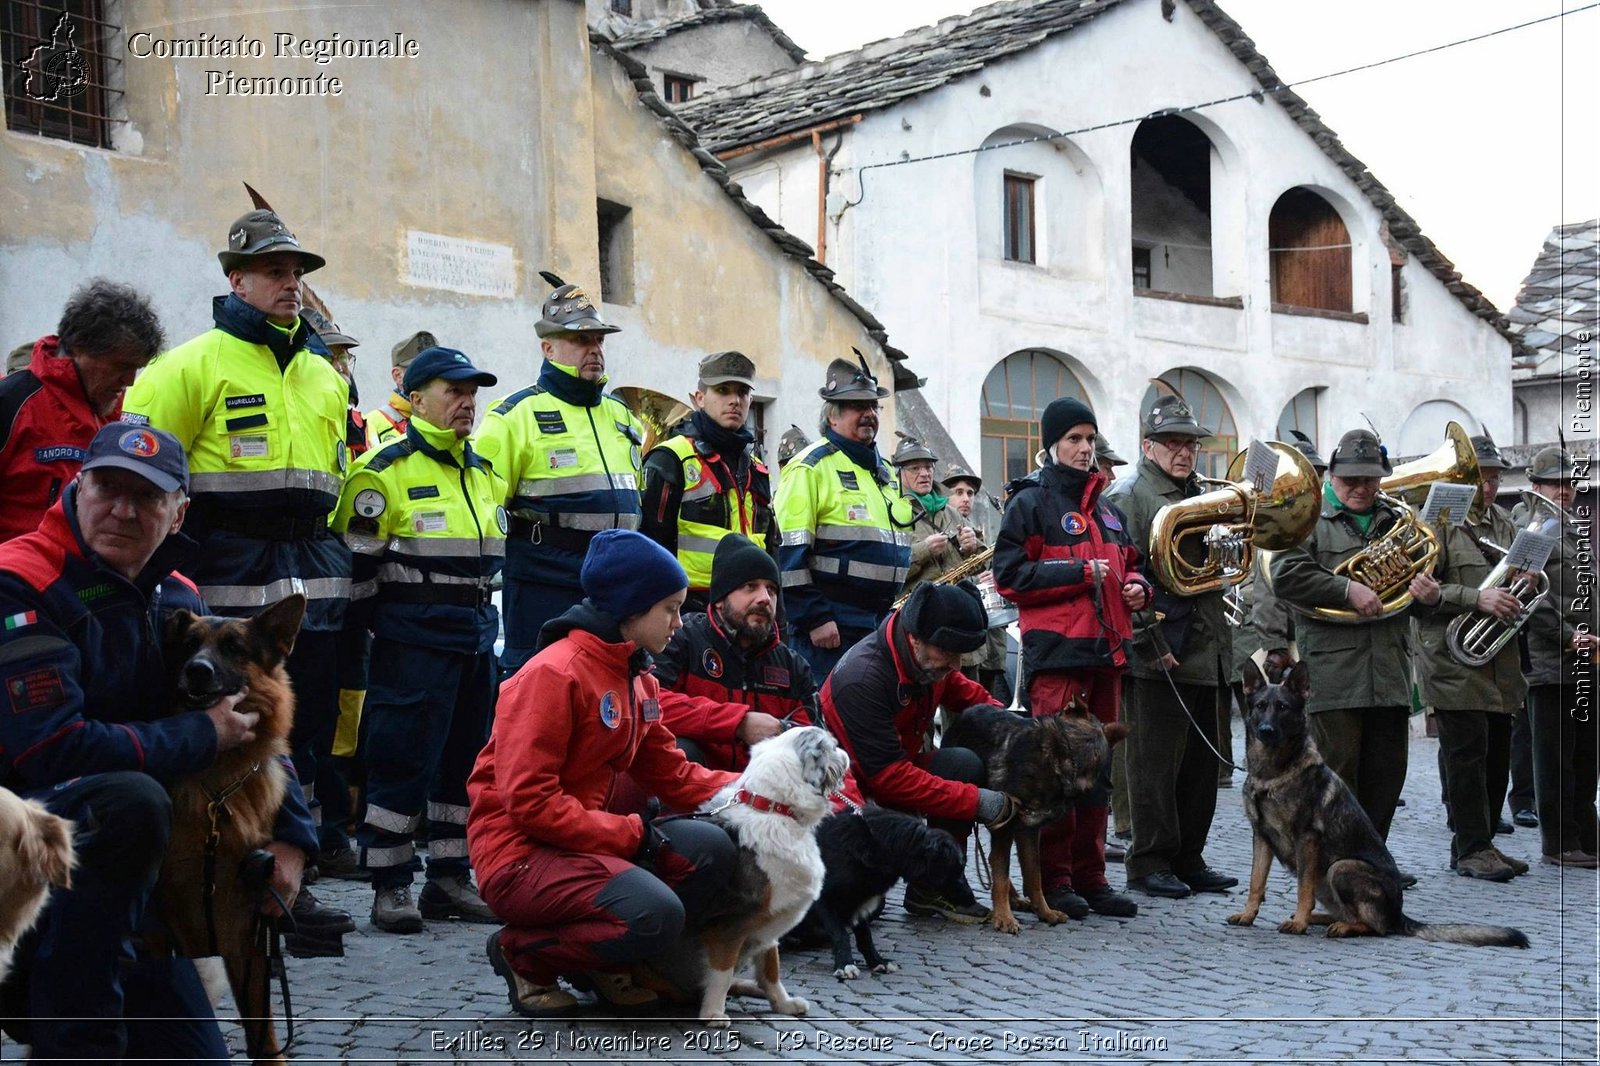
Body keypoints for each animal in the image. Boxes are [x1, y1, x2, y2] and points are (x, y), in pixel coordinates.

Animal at [151, 592, 310, 1056]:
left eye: (235, 648)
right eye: (189, 645)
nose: (197, 670)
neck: (217, 793)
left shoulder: (251, 931)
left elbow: (264, 1036)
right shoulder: (177, 922)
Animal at [784, 806, 960, 973]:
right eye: (957, 868)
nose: (965, 900)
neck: (878, 845)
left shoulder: (859, 900)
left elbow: (865, 936)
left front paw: (876, 961)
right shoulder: (822, 899)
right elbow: (841, 934)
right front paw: (845, 964)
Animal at [934, 704, 1126, 928]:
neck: (1062, 759)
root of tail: (963, 714)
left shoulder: (1029, 831)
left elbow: (1034, 875)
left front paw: (1044, 911)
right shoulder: (1006, 827)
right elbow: (1001, 875)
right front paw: (1004, 917)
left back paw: (1015, 899)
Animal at [1228, 656, 1529, 947]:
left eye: (1283, 707)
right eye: (1260, 706)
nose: (1266, 730)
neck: (1272, 773)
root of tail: (1399, 915)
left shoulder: (1307, 839)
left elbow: (1303, 887)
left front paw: (1299, 924)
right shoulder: (1261, 837)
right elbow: (1256, 881)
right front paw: (1249, 914)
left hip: (1341, 867)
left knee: (1376, 926)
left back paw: (1336, 925)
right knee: (1352, 914)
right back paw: (1320, 918)